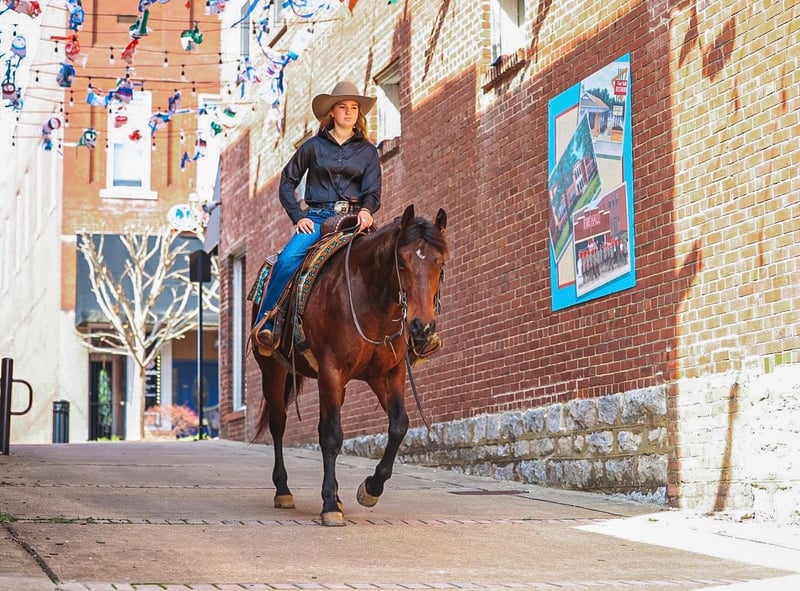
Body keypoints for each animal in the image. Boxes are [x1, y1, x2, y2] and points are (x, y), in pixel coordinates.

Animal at [252, 204, 448, 526]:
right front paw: (330, 505)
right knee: (278, 423)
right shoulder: (332, 371)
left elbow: (399, 425)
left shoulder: (389, 373)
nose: (422, 327)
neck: (371, 299)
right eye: (402, 263)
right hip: (273, 369)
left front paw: (370, 488)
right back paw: (283, 490)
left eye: (440, 264)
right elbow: (332, 435)